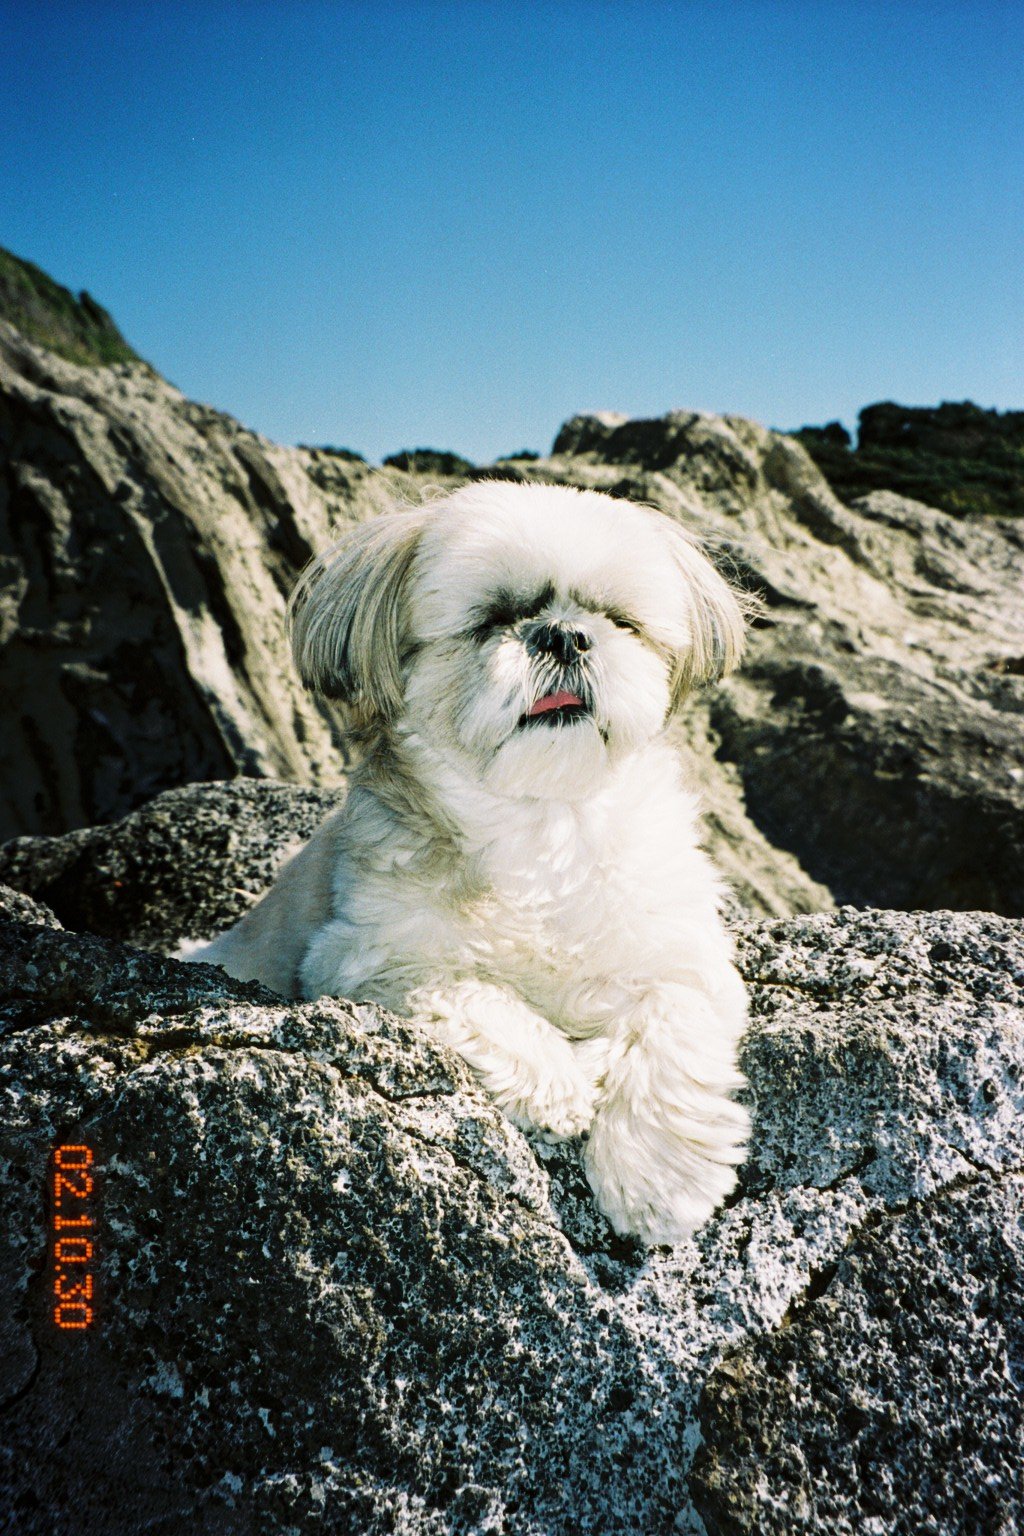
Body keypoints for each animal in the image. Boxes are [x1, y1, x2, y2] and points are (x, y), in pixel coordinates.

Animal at [194, 485, 752, 1241]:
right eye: (492, 620)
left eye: (618, 620)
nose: (565, 635)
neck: (541, 821)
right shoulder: (364, 958)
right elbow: (474, 993)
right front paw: (559, 1083)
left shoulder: (686, 951)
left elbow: (672, 1019)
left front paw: (657, 1173)